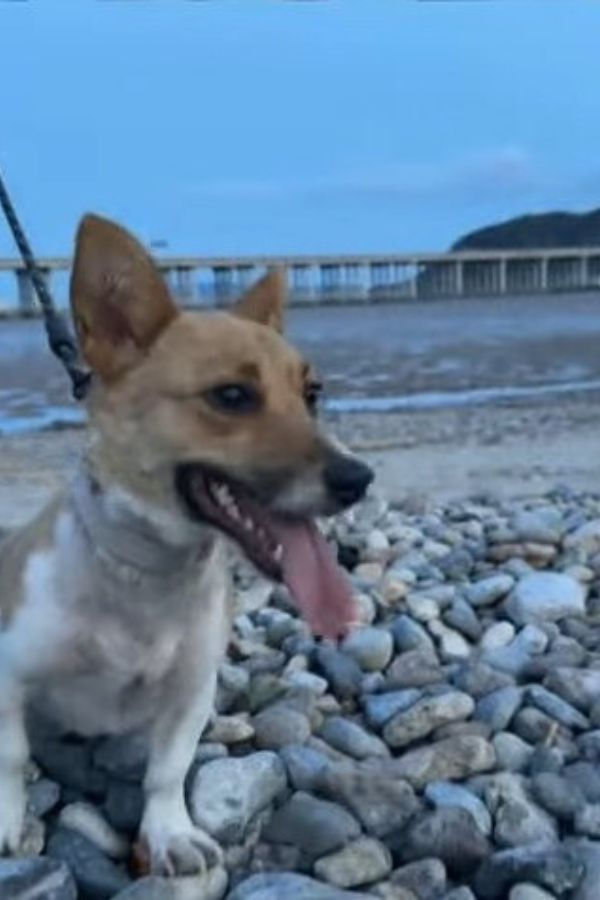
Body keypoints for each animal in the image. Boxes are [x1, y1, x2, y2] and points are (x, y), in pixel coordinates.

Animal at [0, 214, 372, 876]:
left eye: (313, 393)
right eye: (231, 396)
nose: (359, 479)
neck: (145, 574)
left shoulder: (190, 693)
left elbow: (166, 772)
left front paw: (169, 833)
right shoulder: (8, 678)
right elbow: (11, 758)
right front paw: (6, 821)